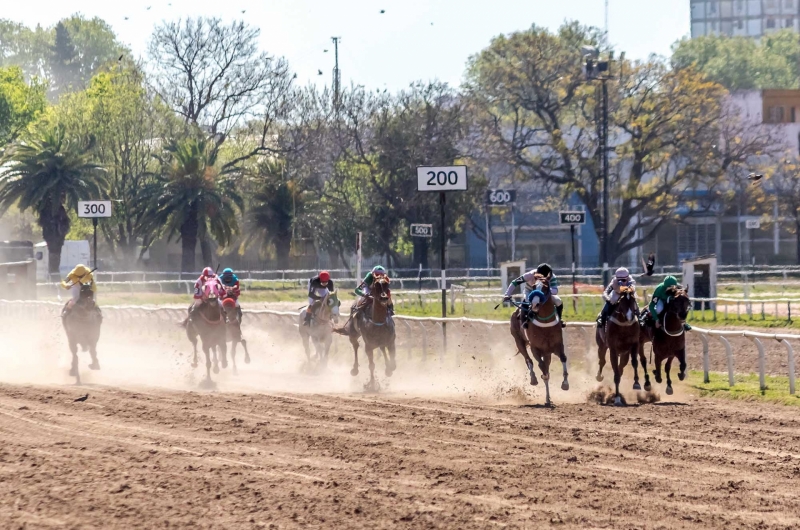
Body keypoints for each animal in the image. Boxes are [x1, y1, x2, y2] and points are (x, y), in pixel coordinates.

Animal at [510, 276, 564, 404]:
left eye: (546, 287)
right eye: (534, 286)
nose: (535, 304)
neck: (545, 322)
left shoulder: (557, 346)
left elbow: (562, 360)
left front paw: (565, 384)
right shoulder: (535, 348)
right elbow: (541, 366)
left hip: (547, 352)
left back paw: (548, 398)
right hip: (519, 342)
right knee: (528, 360)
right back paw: (534, 379)